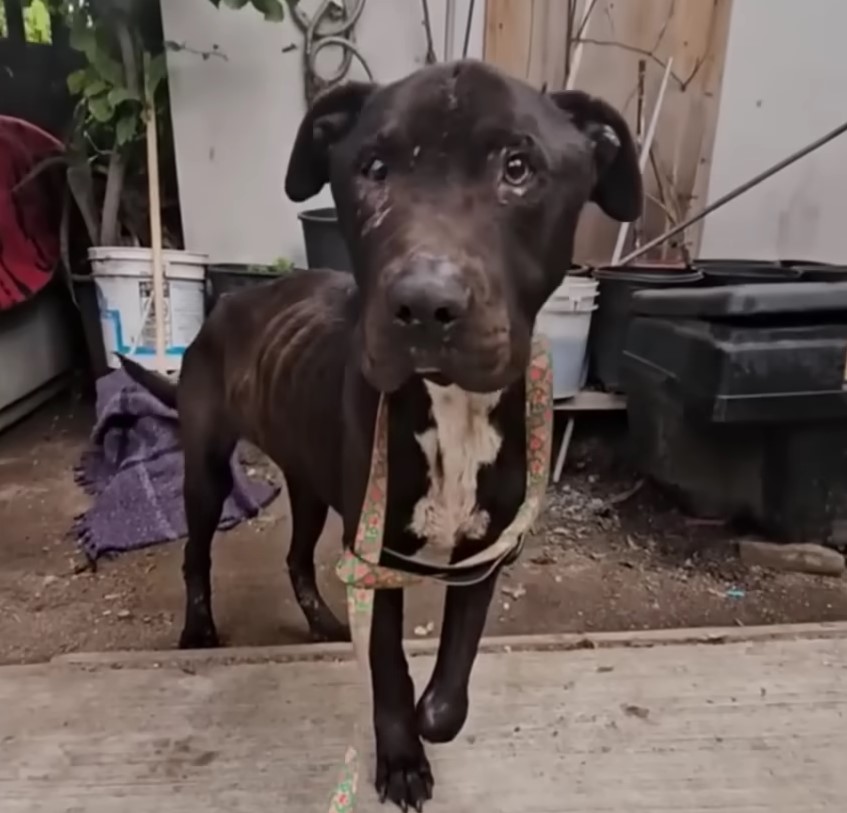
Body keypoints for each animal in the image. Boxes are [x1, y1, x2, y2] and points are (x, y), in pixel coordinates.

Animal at [117, 60, 636, 808]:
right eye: (374, 168)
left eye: (518, 167)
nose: (423, 304)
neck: (449, 404)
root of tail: (228, 304)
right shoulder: (376, 550)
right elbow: (388, 665)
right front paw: (400, 757)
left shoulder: (481, 551)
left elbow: (449, 686)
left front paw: (427, 719)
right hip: (206, 470)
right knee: (196, 555)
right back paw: (198, 629)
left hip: (308, 481)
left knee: (297, 557)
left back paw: (322, 622)